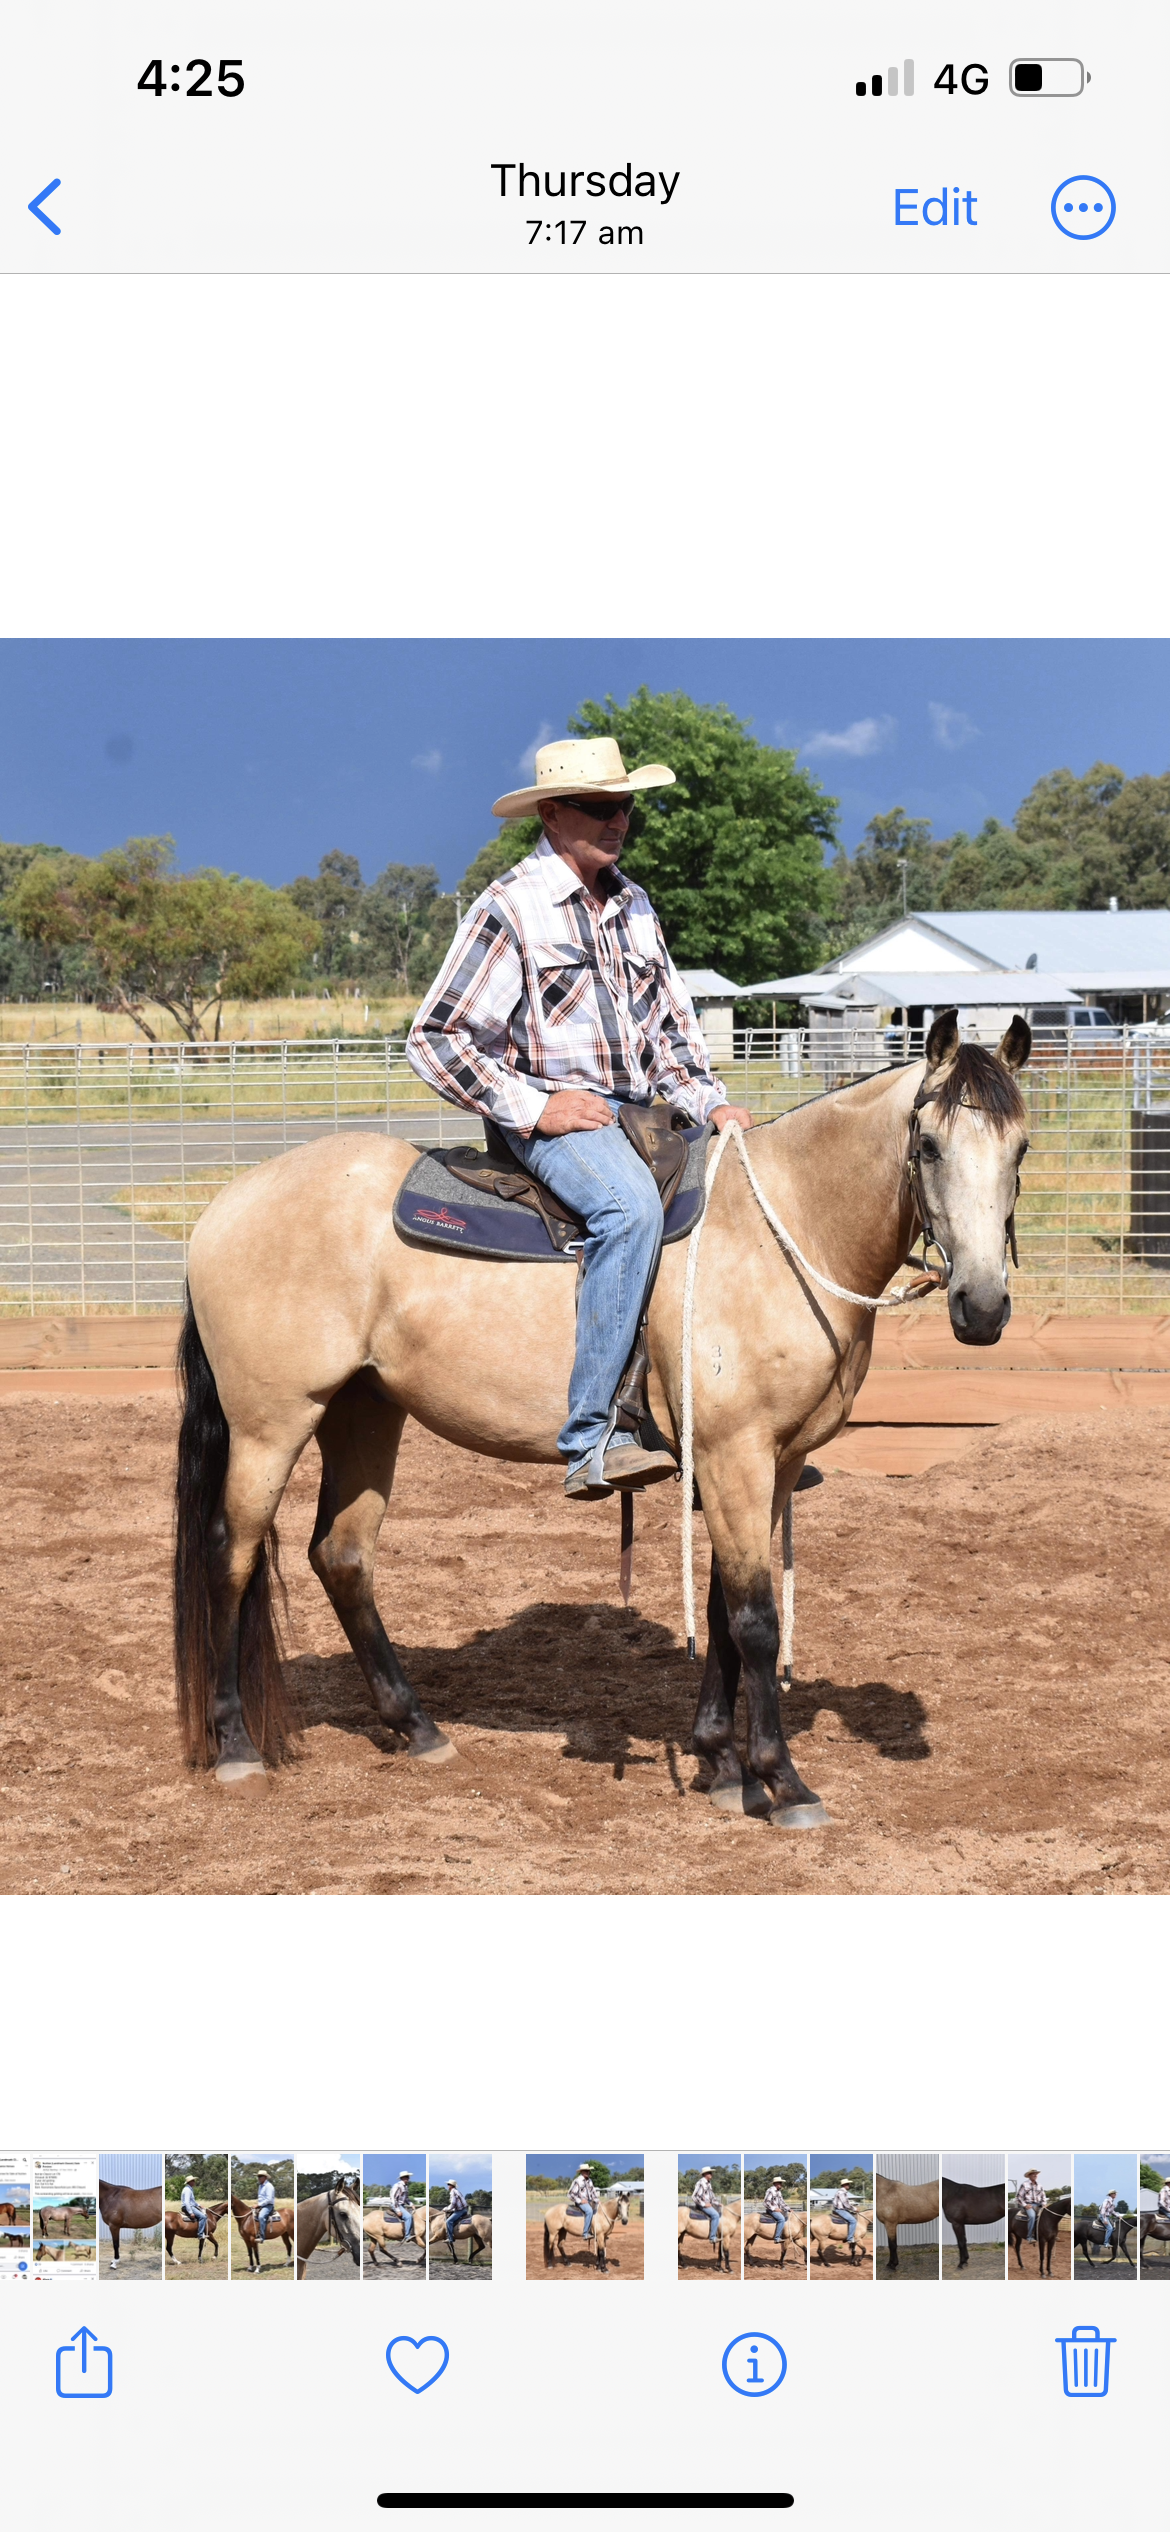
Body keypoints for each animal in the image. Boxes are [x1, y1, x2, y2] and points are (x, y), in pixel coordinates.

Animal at [173, 1014, 1030, 1828]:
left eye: (1020, 1148)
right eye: (928, 1144)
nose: (983, 1308)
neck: (782, 1231)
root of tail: (223, 1208)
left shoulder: (768, 1464)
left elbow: (721, 1608)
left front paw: (720, 1764)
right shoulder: (736, 1455)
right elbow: (755, 1619)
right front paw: (781, 1781)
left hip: (363, 1411)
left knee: (342, 1556)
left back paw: (417, 1728)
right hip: (272, 1423)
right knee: (230, 1556)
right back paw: (238, 1747)